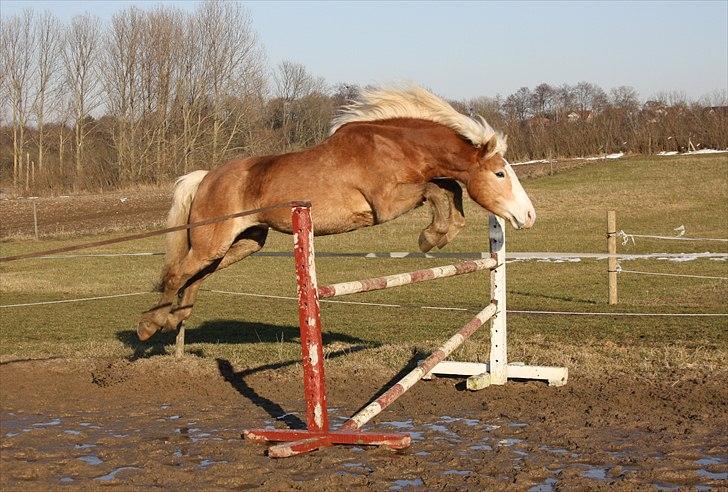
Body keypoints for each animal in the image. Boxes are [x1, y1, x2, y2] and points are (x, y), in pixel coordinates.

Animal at [136, 85, 536, 346]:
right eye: (499, 174)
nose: (529, 216)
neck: (396, 145)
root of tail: (206, 177)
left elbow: (447, 188)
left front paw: (438, 233)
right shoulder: (386, 204)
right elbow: (437, 188)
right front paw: (432, 236)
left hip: (243, 243)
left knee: (196, 276)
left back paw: (175, 318)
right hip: (214, 241)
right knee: (177, 274)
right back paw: (150, 325)